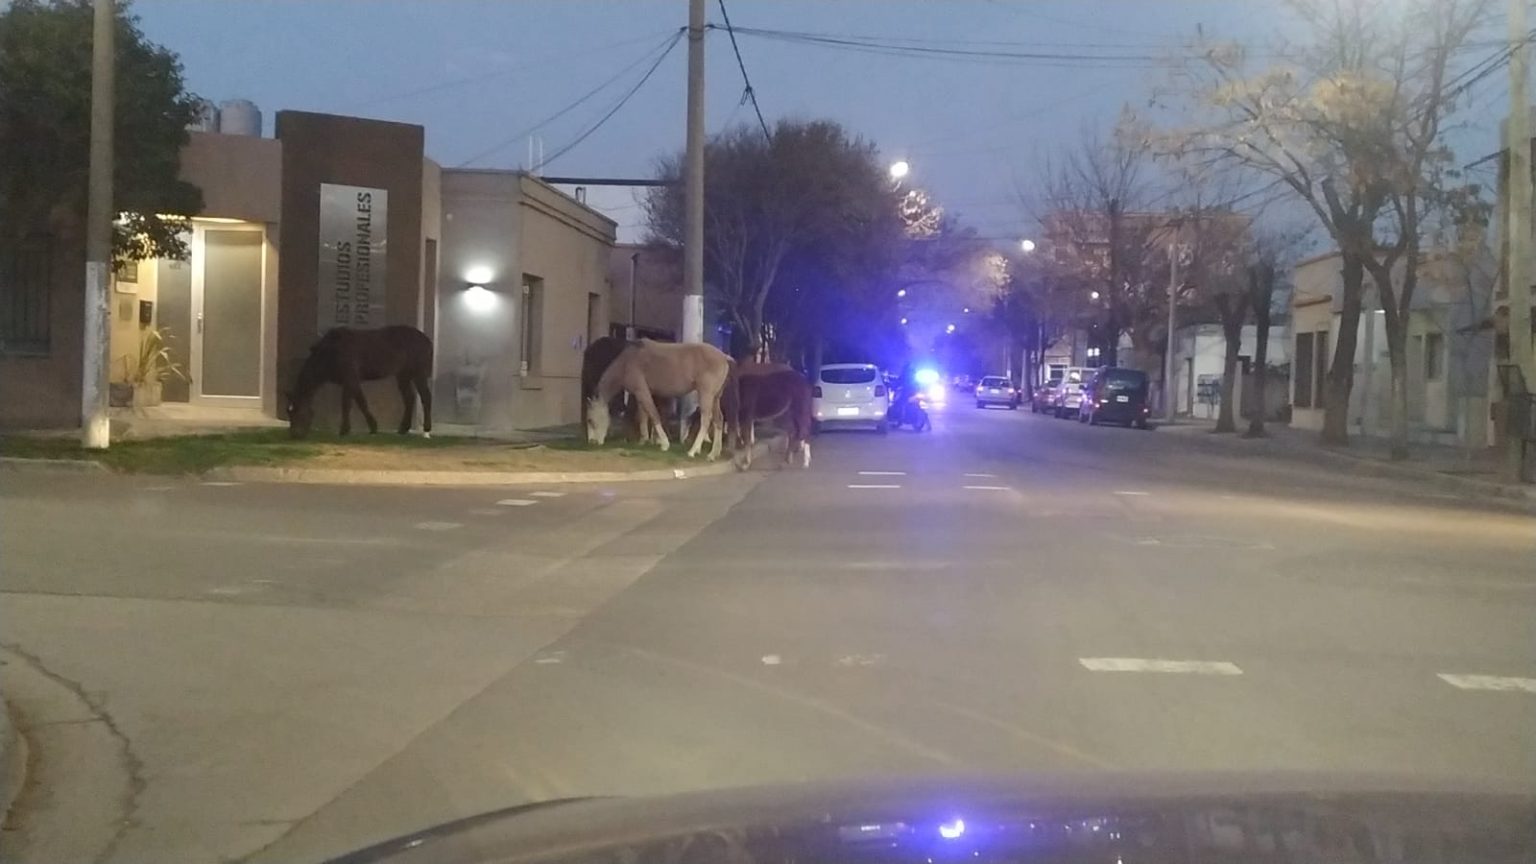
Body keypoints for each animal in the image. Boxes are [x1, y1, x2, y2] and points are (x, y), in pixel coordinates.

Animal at [288, 325, 436, 439]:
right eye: (289, 412)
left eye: (299, 411)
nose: (295, 435)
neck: (330, 352)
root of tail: (427, 340)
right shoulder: (353, 381)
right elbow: (362, 402)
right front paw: (373, 427)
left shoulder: (349, 378)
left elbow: (347, 404)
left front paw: (344, 430)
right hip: (403, 375)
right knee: (409, 398)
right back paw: (403, 429)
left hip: (418, 373)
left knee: (426, 397)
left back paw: (426, 430)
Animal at [586, 338, 731, 458]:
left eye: (590, 421)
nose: (592, 442)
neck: (627, 362)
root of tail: (724, 357)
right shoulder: (640, 394)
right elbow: (643, 416)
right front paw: (644, 440)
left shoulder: (642, 391)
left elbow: (653, 413)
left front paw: (664, 443)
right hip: (715, 397)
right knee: (718, 420)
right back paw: (713, 453)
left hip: (706, 394)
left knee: (706, 420)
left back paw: (693, 451)